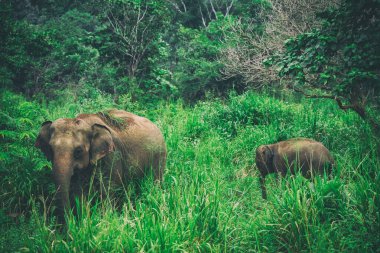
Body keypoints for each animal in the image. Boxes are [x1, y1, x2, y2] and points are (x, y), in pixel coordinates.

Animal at [35, 109, 166, 220]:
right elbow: (78, 192)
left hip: (159, 155)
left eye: (78, 151)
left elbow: (108, 190)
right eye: (50, 149)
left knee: (155, 181)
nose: (70, 230)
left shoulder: (113, 155)